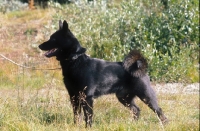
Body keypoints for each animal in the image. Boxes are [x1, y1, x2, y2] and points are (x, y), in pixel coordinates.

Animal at [38, 20, 167, 127]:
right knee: (137, 110)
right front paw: (76, 127)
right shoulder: (74, 97)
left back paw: (164, 125)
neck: (75, 60)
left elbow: (88, 117)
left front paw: (88, 128)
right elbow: (77, 115)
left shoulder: (87, 97)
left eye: (53, 39)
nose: (39, 46)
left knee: (159, 111)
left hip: (146, 96)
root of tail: (139, 67)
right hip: (124, 98)